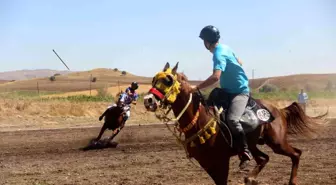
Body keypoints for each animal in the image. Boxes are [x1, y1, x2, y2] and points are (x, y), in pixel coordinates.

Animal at [142, 62, 328, 185]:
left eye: (168, 80)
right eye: (153, 80)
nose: (148, 100)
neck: (200, 120)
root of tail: (279, 110)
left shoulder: (221, 161)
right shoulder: (207, 163)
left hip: (277, 142)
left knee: (296, 154)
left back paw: (291, 181)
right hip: (253, 145)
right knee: (264, 158)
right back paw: (250, 177)